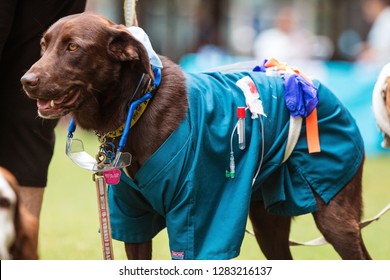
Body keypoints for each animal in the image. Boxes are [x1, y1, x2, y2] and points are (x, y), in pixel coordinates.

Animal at [19, 12, 370, 260]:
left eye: (73, 47)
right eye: (43, 45)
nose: (26, 80)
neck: (139, 105)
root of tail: (306, 80)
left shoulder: (196, 217)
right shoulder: (133, 221)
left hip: (335, 212)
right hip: (267, 219)